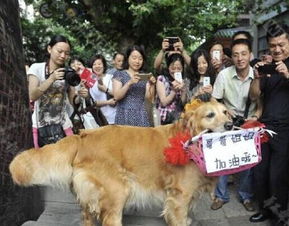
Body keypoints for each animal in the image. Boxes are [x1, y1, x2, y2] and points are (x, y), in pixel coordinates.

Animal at [9, 97, 232, 226]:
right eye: (210, 115)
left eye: (226, 112)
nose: (231, 124)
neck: (188, 137)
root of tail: (82, 136)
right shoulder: (180, 197)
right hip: (117, 191)